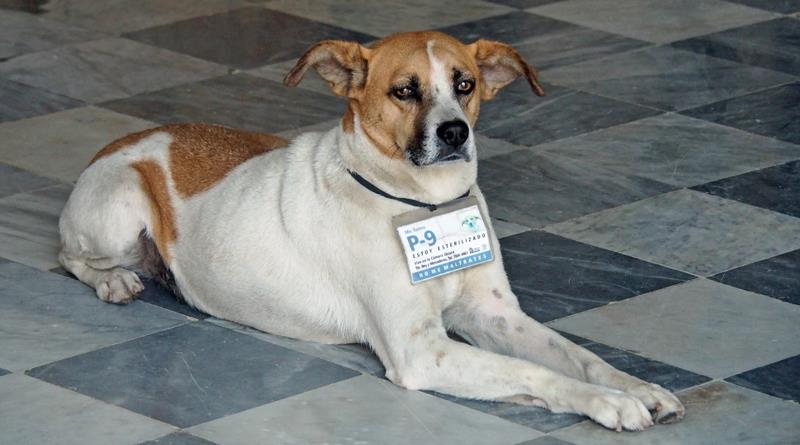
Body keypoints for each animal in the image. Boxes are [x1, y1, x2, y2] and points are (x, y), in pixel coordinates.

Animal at [59, 31, 684, 430]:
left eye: (464, 84)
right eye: (404, 90)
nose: (455, 133)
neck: (425, 207)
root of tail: (124, 139)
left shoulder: (496, 315)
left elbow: (577, 356)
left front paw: (638, 387)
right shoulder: (421, 351)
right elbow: (532, 371)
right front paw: (608, 404)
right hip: (120, 207)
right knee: (70, 257)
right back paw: (114, 282)